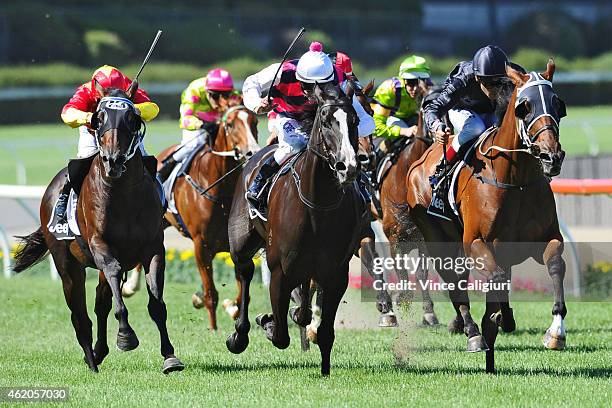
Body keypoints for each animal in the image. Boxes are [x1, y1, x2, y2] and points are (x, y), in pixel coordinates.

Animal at [13, 84, 183, 374]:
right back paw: (92, 361)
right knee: (80, 314)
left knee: (100, 303)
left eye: (132, 118)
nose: (113, 160)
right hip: (67, 264)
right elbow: (115, 286)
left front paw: (170, 356)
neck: (123, 194)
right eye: (98, 118)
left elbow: (156, 305)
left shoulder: (152, 248)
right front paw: (126, 337)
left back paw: (99, 351)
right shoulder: (100, 245)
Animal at [226, 83, 366, 376]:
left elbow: (324, 331)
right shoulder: (280, 271)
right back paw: (239, 335)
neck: (317, 204)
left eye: (355, 120)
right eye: (325, 121)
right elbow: (280, 335)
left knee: (303, 300)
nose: (348, 167)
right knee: (245, 272)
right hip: (241, 243)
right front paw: (268, 321)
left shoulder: (336, 274)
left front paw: (325, 369)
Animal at [406, 60, 568, 372]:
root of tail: (418, 161)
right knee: (454, 281)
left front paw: (555, 332)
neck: (515, 179)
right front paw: (490, 323)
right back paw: (471, 332)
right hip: (436, 237)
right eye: (524, 107)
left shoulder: (545, 238)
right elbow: (494, 276)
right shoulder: (476, 242)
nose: (551, 157)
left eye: (558, 104)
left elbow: (554, 264)